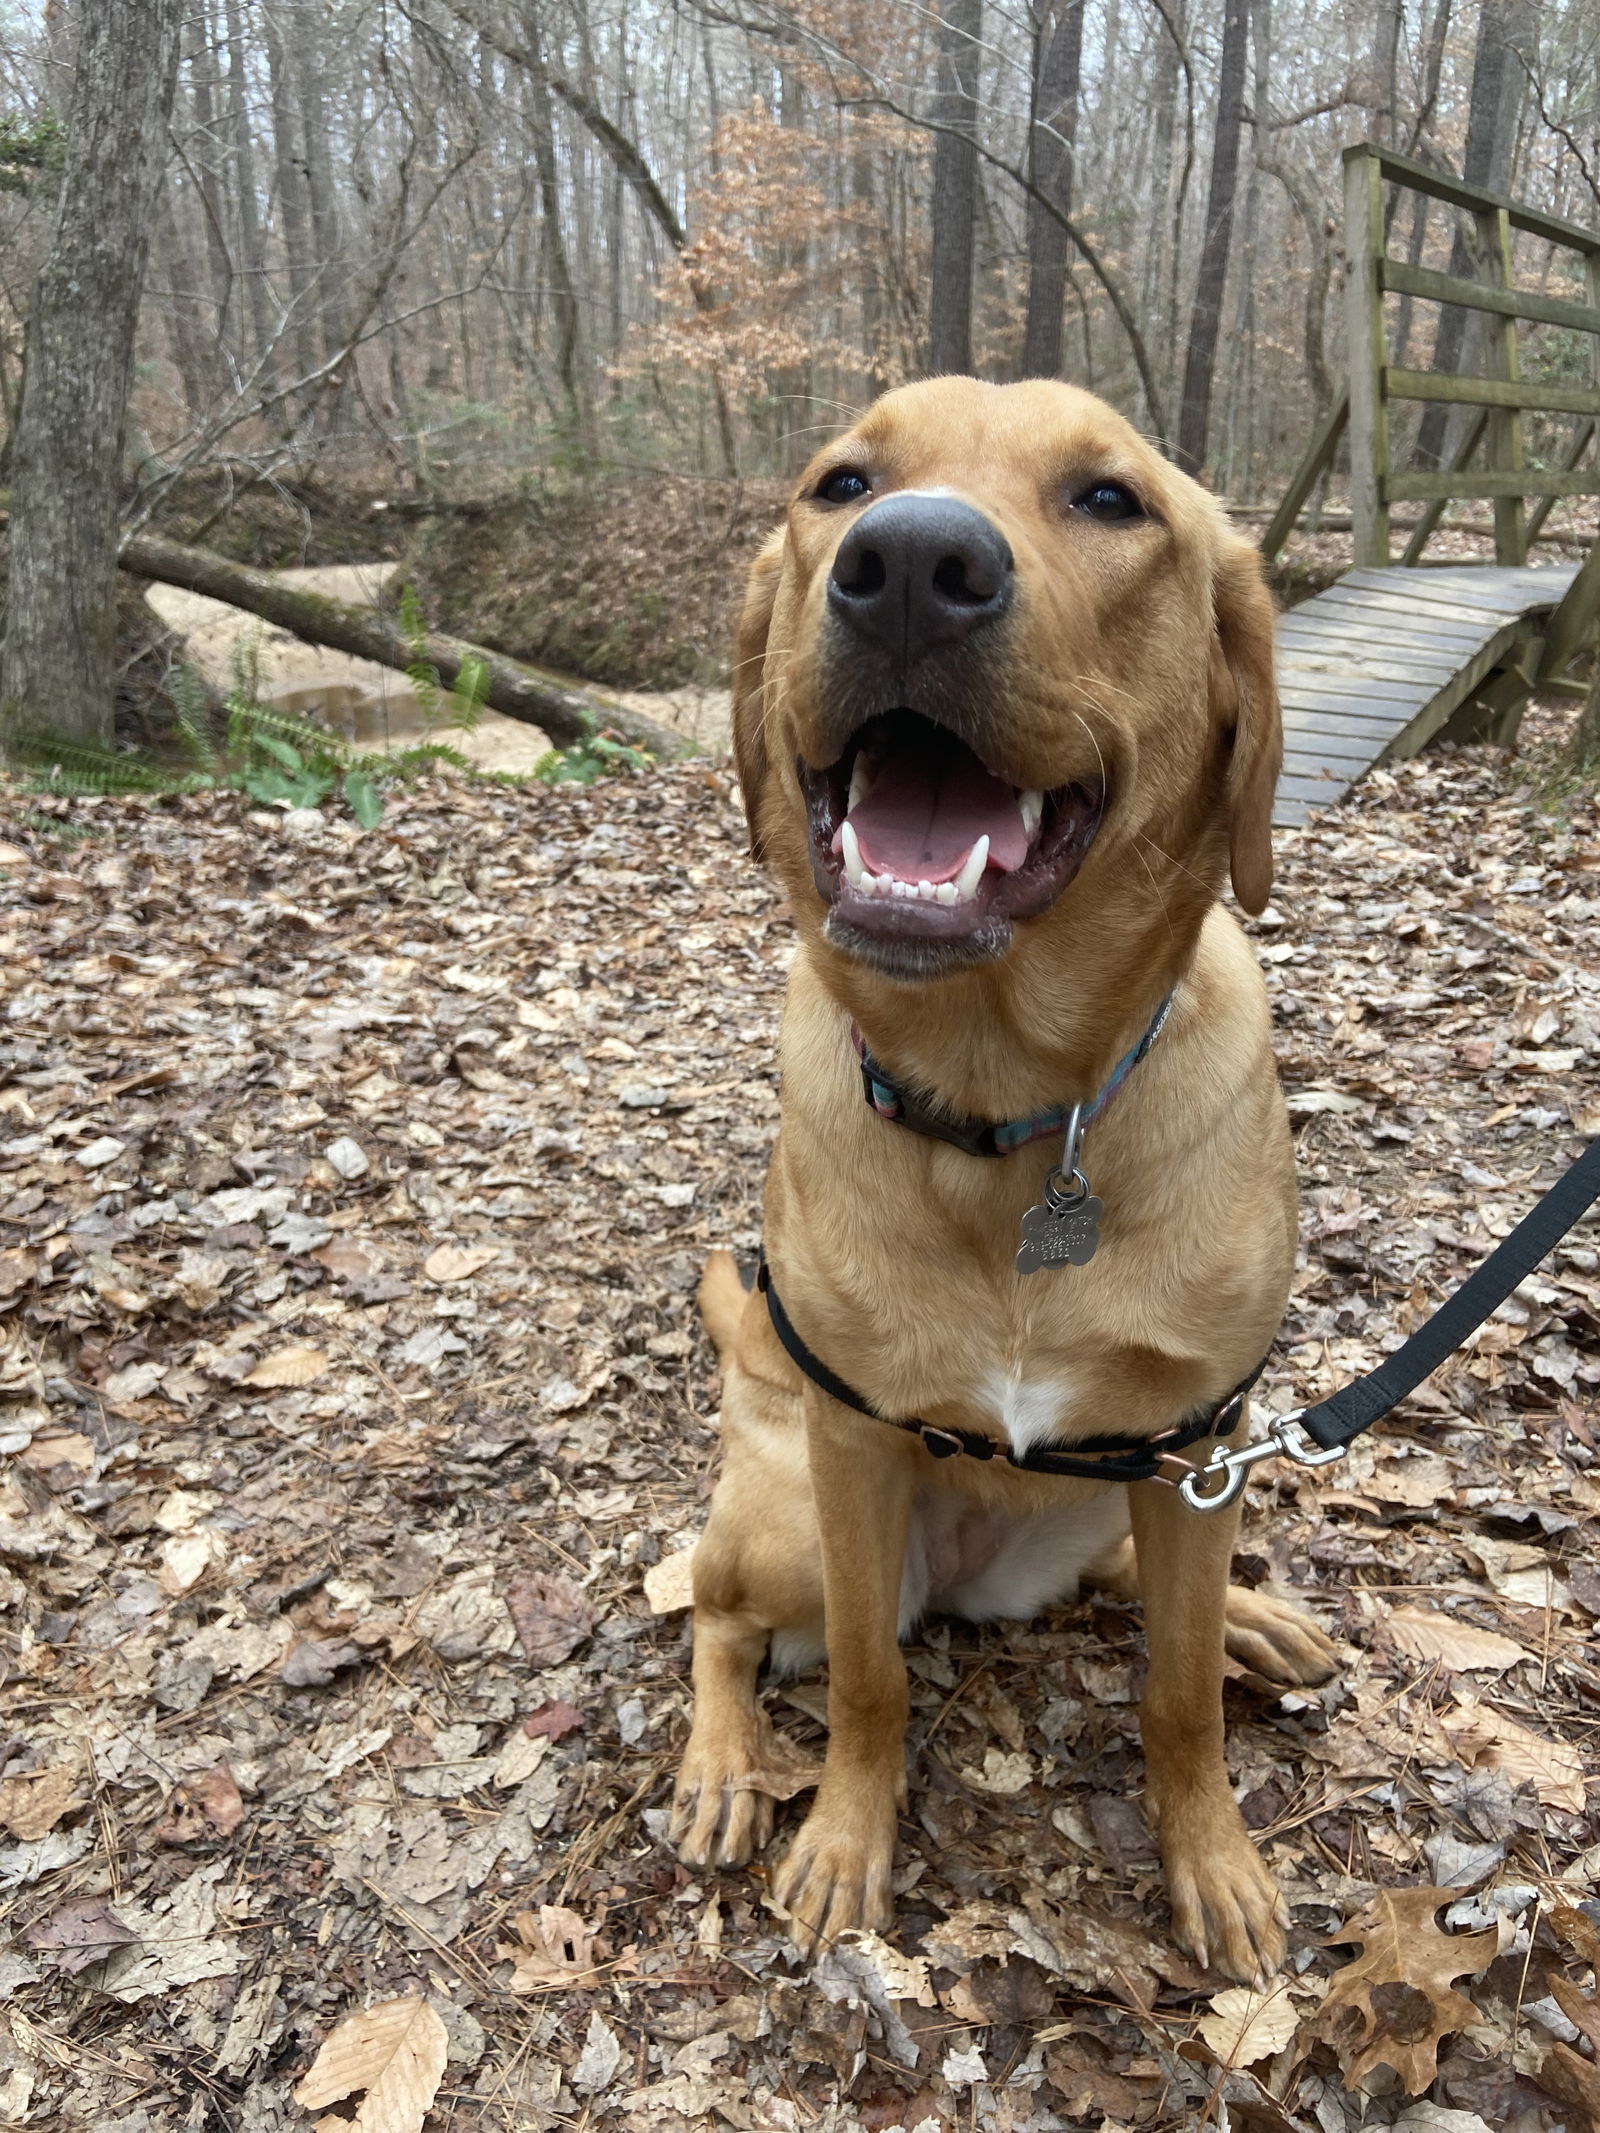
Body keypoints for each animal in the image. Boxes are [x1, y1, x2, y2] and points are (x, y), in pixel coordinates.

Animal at [674, 379, 1339, 1979]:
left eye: (1110, 501)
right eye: (842, 485)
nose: (911, 564)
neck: (1012, 1113)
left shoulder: (1196, 1441)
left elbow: (1176, 1697)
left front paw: (1211, 1856)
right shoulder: (854, 1451)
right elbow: (868, 1683)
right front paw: (844, 1842)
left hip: (1133, 1491)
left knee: (1137, 1591)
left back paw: (1251, 1621)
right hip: (792, 1522)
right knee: (714, 1614)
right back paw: (723, 1763)